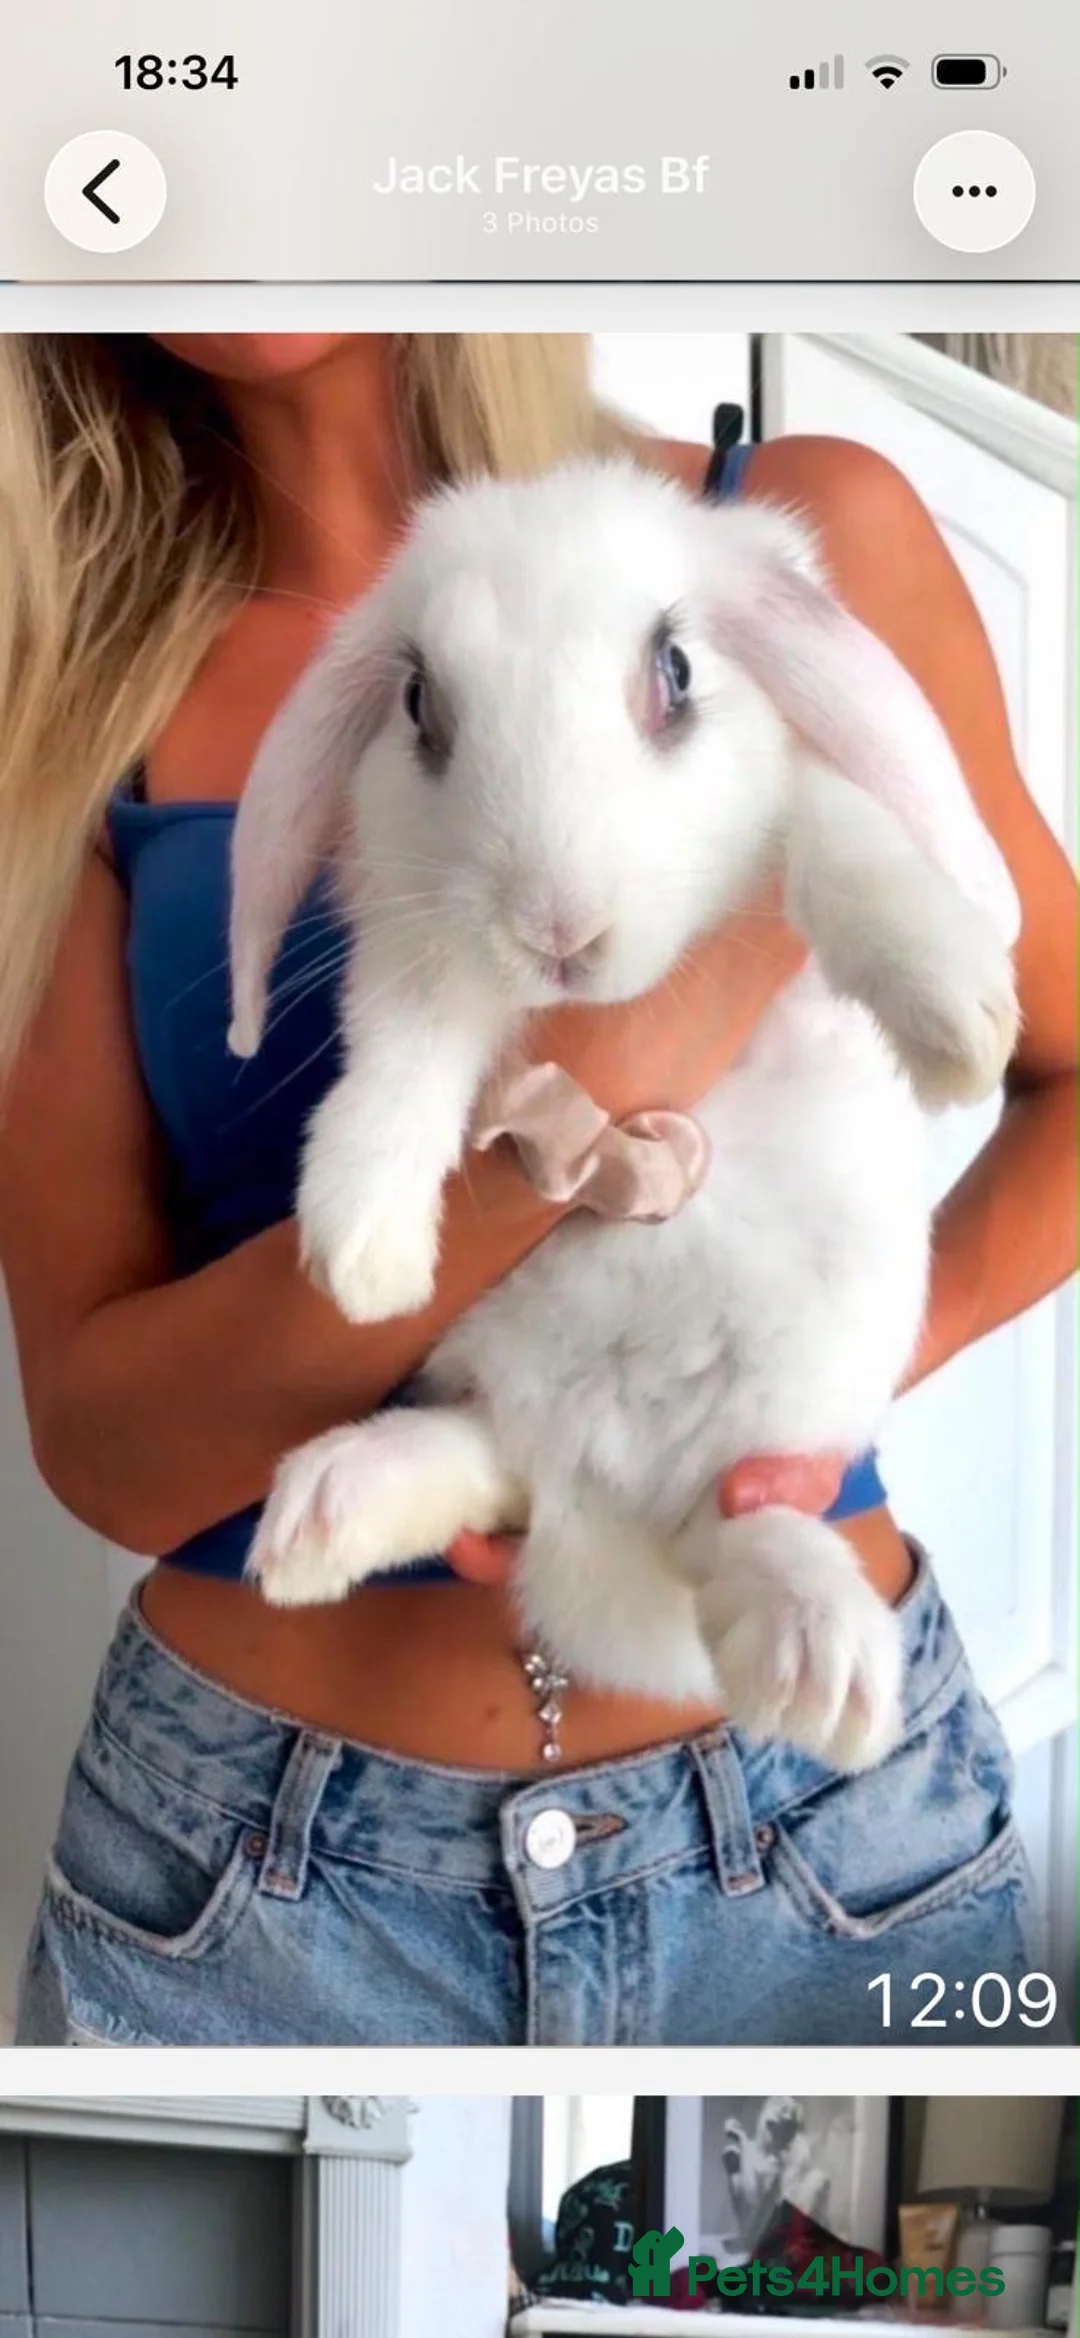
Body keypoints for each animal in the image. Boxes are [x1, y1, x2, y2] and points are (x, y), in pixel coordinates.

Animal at [227, 456, 1020, 1769]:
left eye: (677, 673)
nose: (557, 931)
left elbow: (841, 842)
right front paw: (363, 1252)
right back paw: (328, 1508)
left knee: (730, 1529)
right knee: (493, 1461)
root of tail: (605, 1484)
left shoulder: (801, 812)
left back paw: (817, 1659)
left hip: (769, 1423)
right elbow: (398, 1062)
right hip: (501, 1389)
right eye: (418, 704)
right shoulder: (416, 947)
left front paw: (959, 1018)